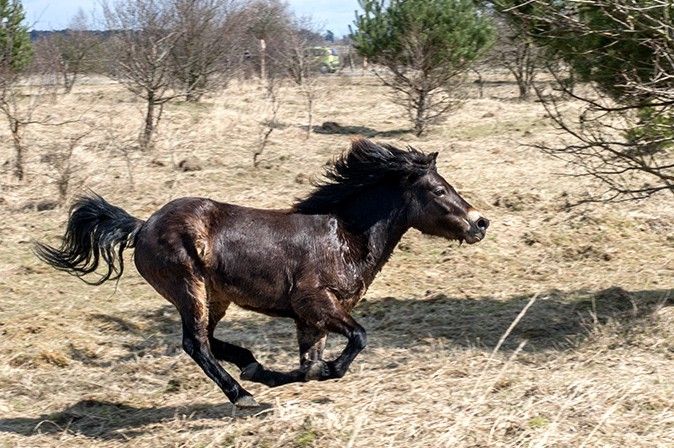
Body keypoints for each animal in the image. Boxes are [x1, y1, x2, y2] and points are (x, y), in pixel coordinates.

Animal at [35, 138, 488, 408]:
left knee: (208, 341)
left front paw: (279, 373)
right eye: (438, 190)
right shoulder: (317, 304)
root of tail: (143, 225)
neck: (346, 236)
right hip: (188, 288)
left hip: (215, 297)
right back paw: (243, 395)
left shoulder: (310, 320)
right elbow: (355, 341)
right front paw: (312, 373)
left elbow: (308, 366)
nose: (480, 222)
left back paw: (250, 367)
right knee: (195, 343)